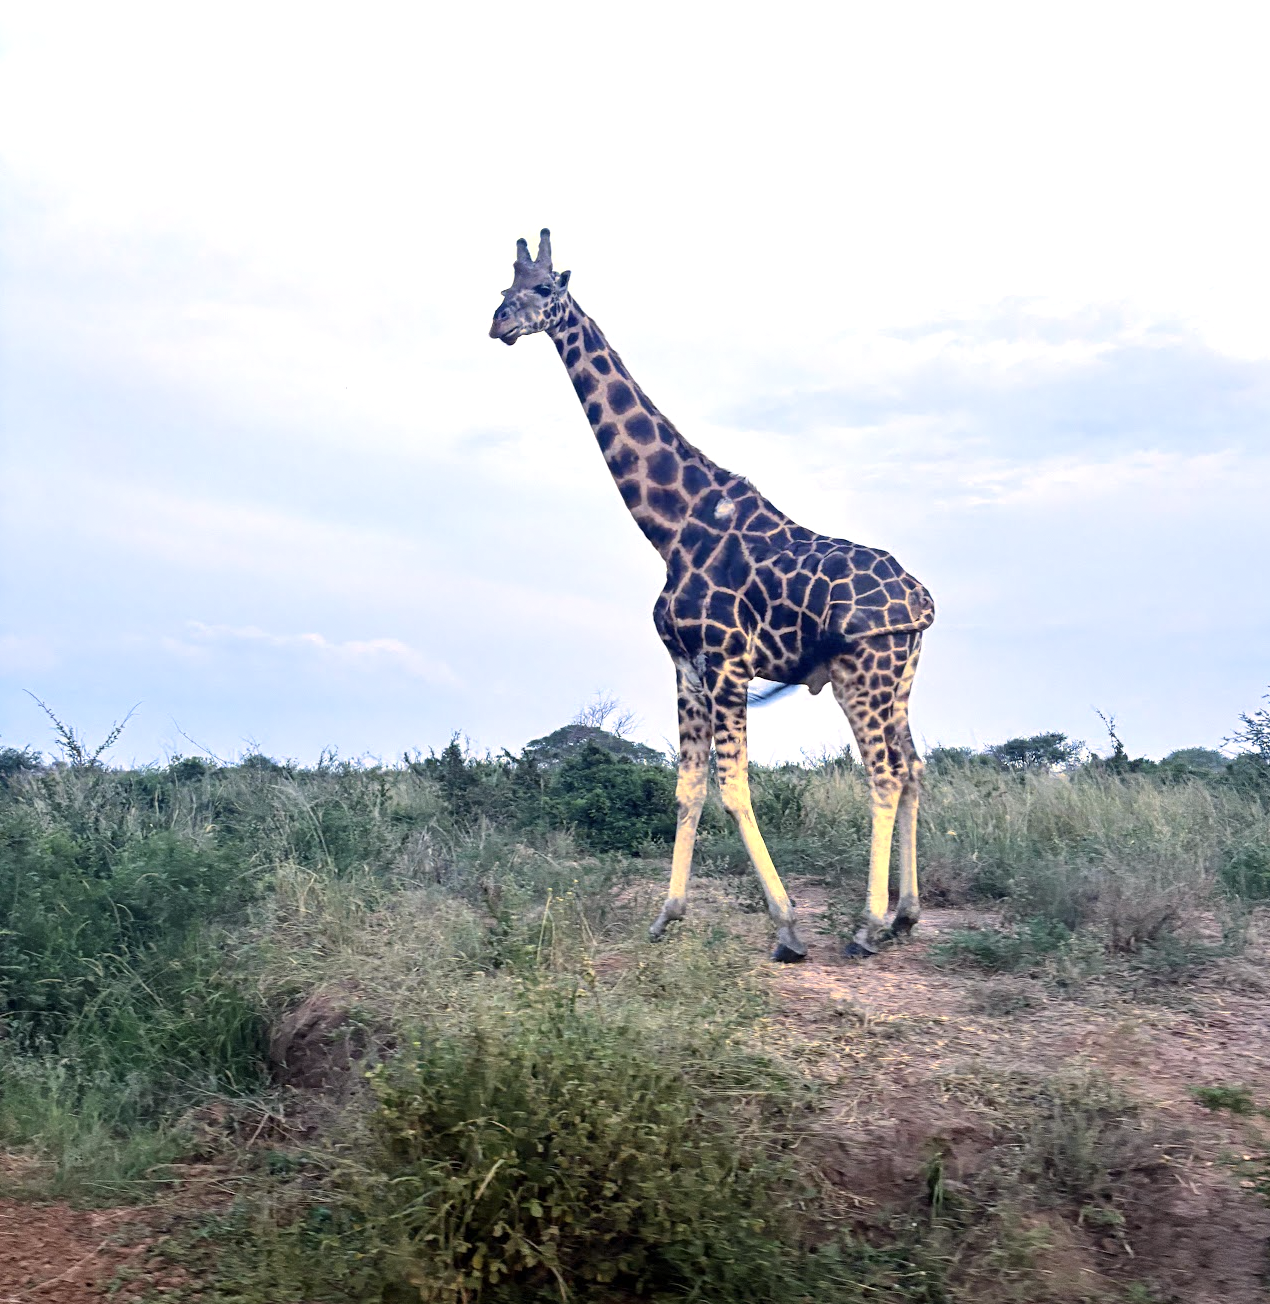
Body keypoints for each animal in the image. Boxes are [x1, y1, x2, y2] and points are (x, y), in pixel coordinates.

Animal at [490, 231, 935, 962]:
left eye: (545, 290)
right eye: (504, 290)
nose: (499, 325)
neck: (671, 527)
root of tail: (922, 600)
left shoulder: (726, 662)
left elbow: (733, 788)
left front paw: (787, 928)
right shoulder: (685, 665)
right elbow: (687, 789)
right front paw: (666, 916)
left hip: (862, 673)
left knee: (885, 773)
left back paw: (868, 925)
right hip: (899, 677)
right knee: (915, 766)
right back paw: (905, 914)